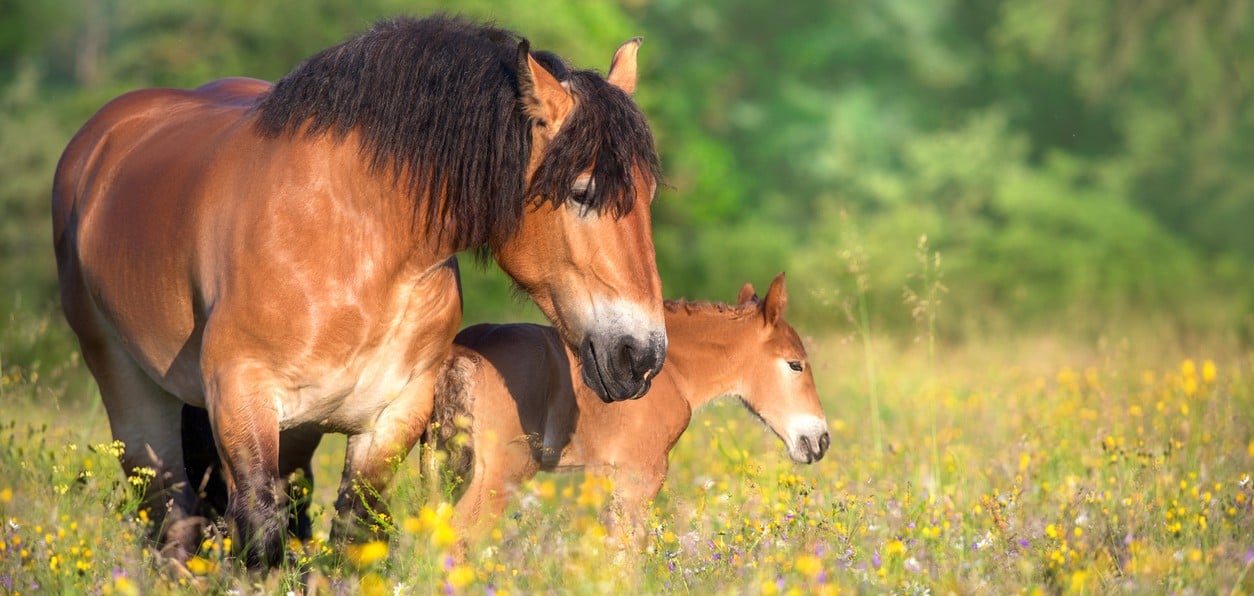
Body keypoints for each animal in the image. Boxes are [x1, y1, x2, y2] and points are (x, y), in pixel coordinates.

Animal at [52, 15, 667, 567]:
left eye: (648, 195)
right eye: (582, 192)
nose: (641, 356)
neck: (356, 241)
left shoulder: (393, 415)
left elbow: (353, 537)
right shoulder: (240, 395)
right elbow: (259, 538)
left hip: (296, 431)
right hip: (134, 397)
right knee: (173, 518)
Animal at [429, 273, 830, 548]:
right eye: (795, 365)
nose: (820, 440)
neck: (671, 370)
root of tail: (463, 354)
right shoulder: (641, 472)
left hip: (444, 466)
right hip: (502, 474)